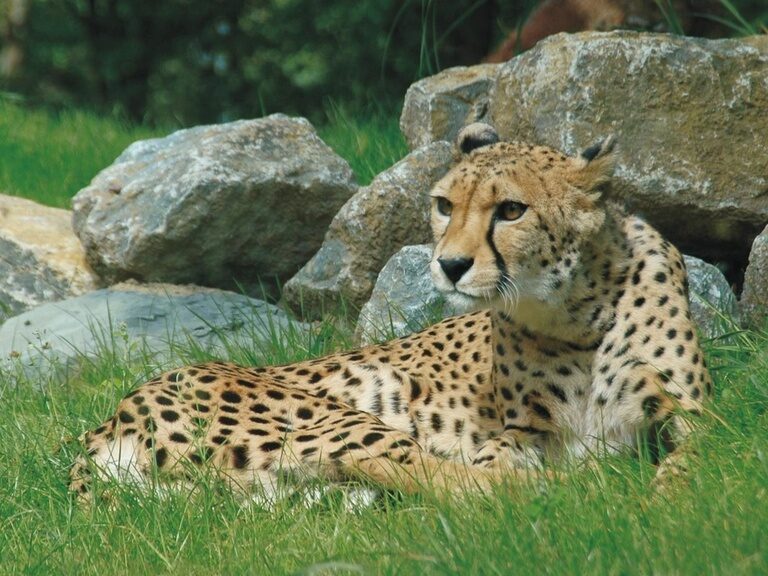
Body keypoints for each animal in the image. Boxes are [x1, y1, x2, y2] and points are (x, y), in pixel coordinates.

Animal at [69, 124, 712, 502]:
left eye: (511, 210)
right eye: (444, 205)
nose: (450, 265)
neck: (575, 310)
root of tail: (109, 417)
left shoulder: (699, 418)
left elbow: (699, 464)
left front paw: (667, 495)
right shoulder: (514, 437)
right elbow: (490, 469)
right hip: (334, 420)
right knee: (413, 469)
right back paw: (580, 487)